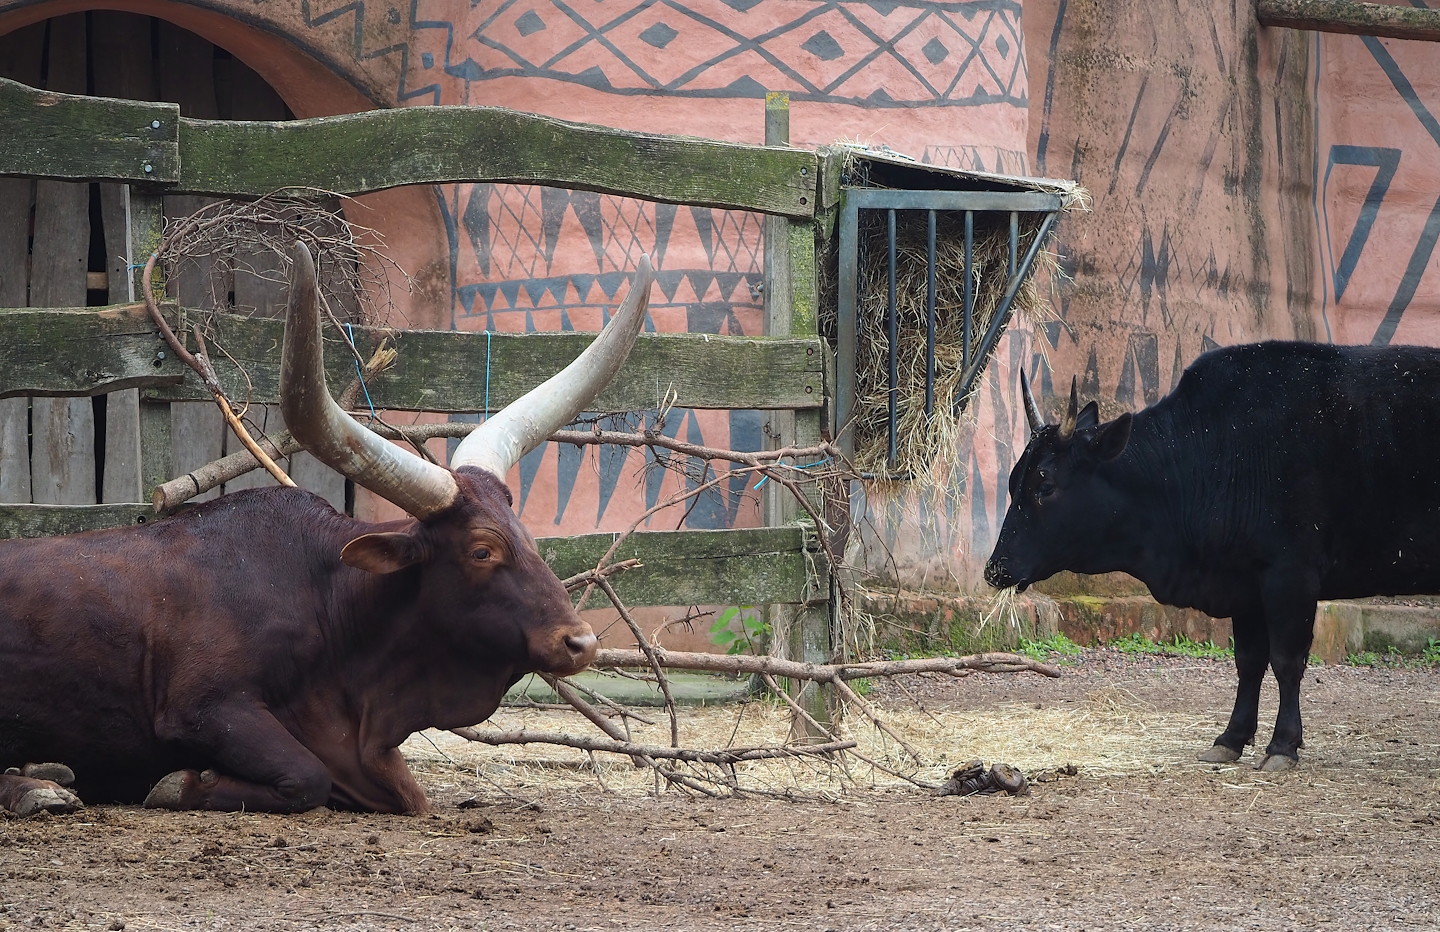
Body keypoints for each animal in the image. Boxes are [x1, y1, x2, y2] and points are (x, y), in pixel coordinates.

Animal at [0, 242, 654, 816]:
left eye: (527, 536)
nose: (580, 642)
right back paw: (39, 786)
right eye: (482, 550)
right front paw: (177, 783)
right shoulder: (203, 706)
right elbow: (304, 775)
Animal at [985, 341, 1440, 771]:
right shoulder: (1245, 583)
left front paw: (1283, 745)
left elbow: (1287, 661)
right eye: (1012, 481)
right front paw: (1231, 738)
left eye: (1045, 485)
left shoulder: (1290, 575)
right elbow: (1249, 662)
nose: (995, 568)